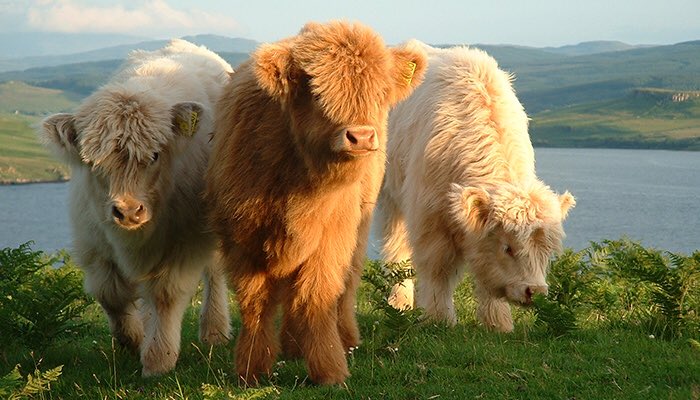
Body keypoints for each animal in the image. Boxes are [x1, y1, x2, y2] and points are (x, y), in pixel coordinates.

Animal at [39, 39, 233, 376]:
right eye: (92, 161)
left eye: (155, 155)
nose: (128, 211)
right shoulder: (92, 242)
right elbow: (110, 293)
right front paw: (134, 338)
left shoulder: (185, 243)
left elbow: (165, 294)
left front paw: (158, 359)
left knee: (215, 271)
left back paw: (214, 330)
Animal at [206, 21, 427, 385]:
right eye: (314, 90)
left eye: (381, 91)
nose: (361, 137)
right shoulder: (242, 241)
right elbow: (255, 303)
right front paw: (251, 368)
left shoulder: (330, 238)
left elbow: (316, 297)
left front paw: (330, 370)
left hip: (360, 228)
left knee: (344, 287)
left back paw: (342, 340)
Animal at [377, 41, 575, 333]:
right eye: (508, 247)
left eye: (547, 250)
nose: (534, 291)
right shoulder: (429, 216)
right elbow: (437, 269)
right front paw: (438, 319)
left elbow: (488, 280)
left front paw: (498, 323)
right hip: (391, 197)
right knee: (396, 250)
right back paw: (398, 303)